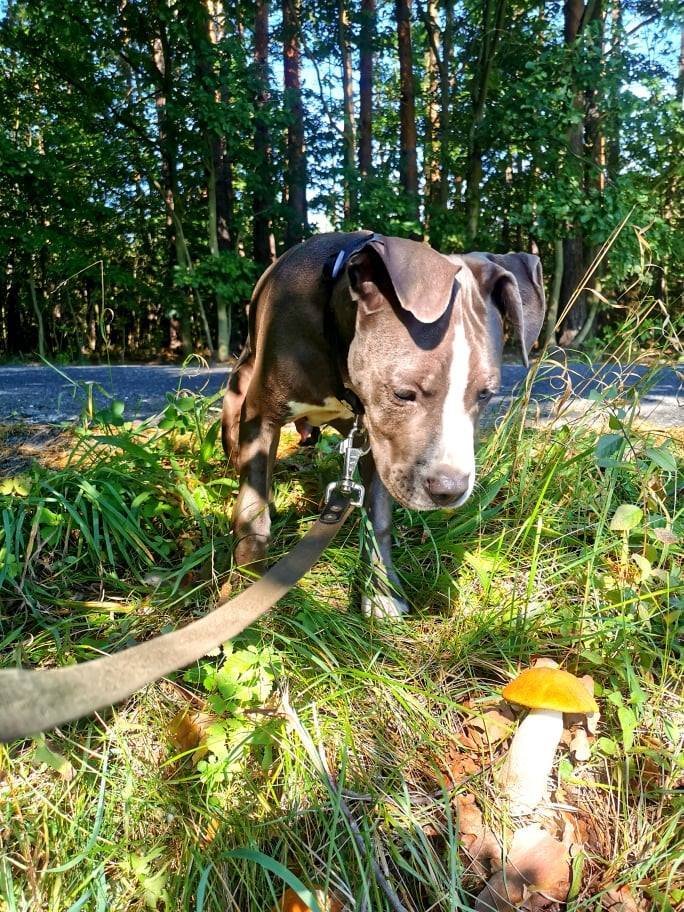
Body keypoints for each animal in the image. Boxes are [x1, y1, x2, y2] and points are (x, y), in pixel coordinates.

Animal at [223, 233, 544, 620]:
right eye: (403, 393)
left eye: (486, 394)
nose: (450, 489)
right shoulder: (263, 418)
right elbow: (252, 513)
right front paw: (249, 590)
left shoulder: (377, 445)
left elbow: (379, 519)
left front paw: (381, 593)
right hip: (240, 392)